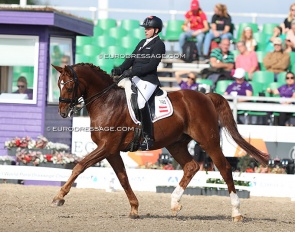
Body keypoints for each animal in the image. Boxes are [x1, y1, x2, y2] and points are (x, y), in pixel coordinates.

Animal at [51, 63, 270, 221]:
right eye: (58, 84)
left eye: (68, 85)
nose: (62, 112)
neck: (107, 102)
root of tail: (206, 96)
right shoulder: (112, 151)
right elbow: (123, 178)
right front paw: (134, 208)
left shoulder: (107, 147)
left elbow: (80, 166)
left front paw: (59, 197)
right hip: (176, 143)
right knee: (191, 166)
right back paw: (174, 203)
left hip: (208, 141)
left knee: (224, 168)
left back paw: (236, 213)